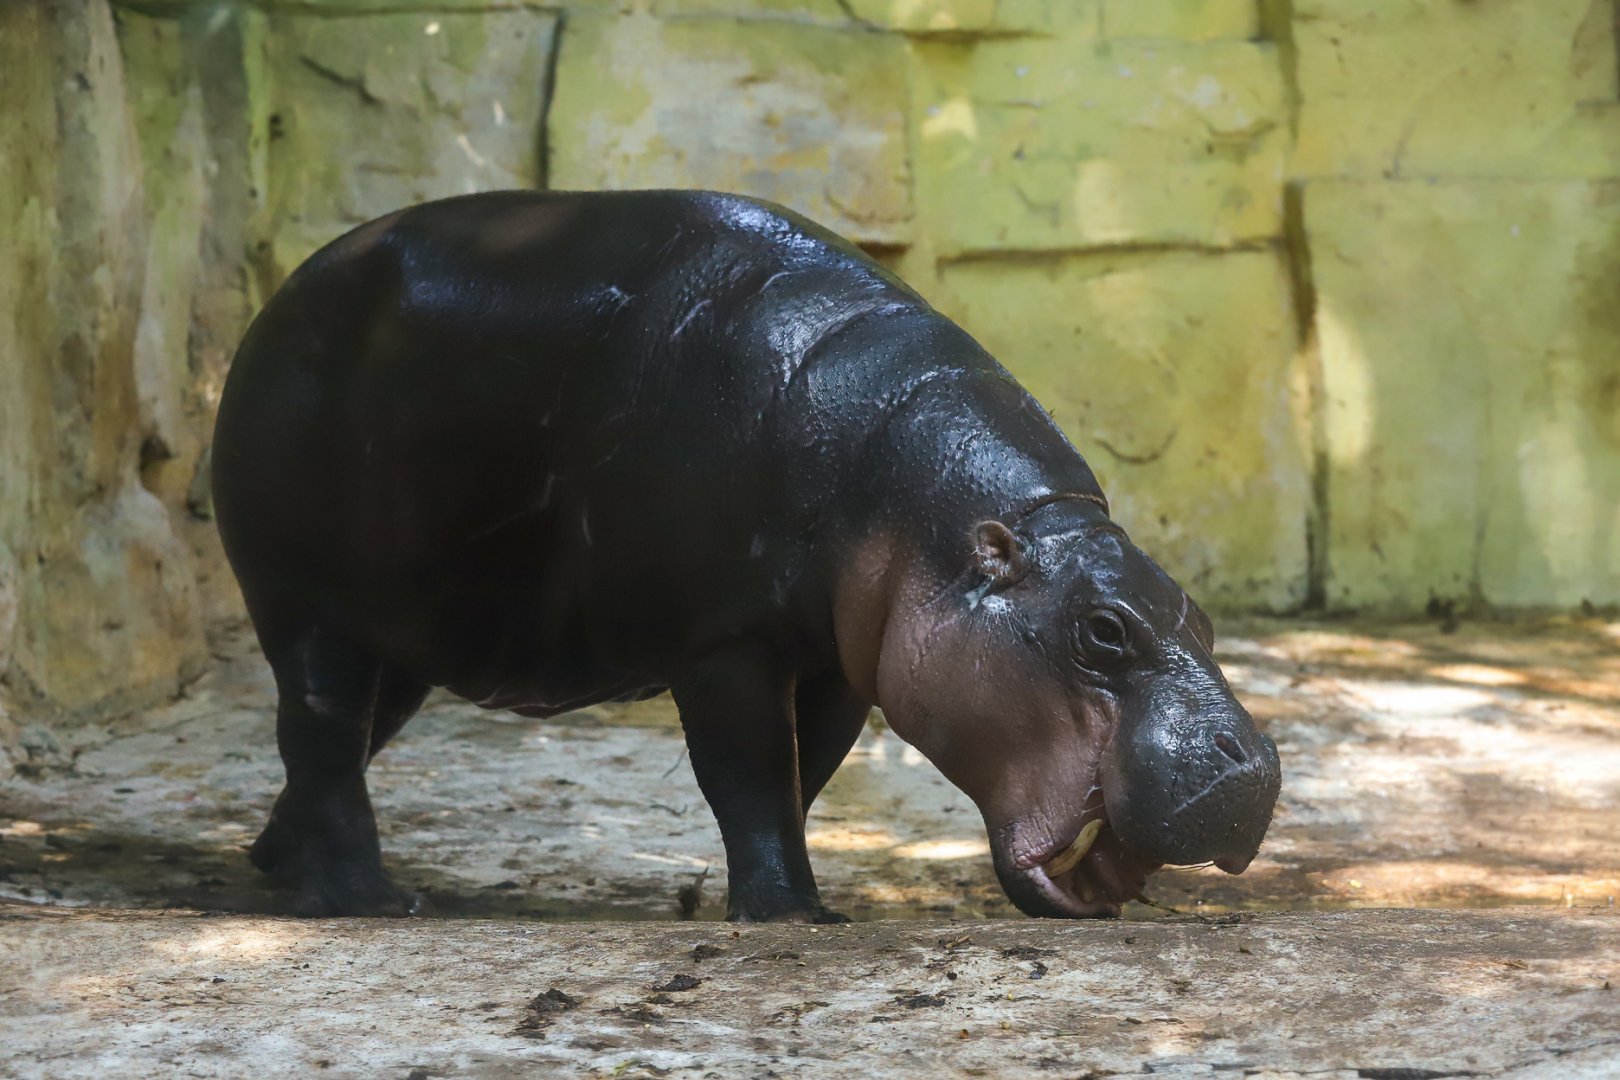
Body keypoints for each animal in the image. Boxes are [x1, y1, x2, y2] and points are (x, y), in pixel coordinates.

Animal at [212, 190, 1281, 923]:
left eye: (1198, 613)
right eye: (1102, 630)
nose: (1256, 762)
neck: (928, 504)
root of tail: (279, 300)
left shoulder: (846, 658)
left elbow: (804, 773)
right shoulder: (726, 640)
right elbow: (752, 770)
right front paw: (794, 915)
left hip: (406, 632)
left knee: (345, 741)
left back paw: (274, 861)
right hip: (306, 604)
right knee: (321, 731)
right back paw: (368, 901)